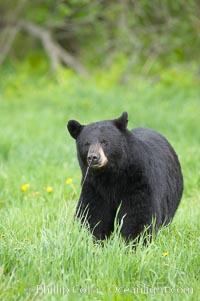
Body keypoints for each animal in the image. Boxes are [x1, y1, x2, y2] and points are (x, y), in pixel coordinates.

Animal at [67, 112, 183, 241]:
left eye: (104, 141)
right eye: (86, 144)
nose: (93, 157)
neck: (110, 175)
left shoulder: (138, 181)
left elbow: (138, 213)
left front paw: (133, 241)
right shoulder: (93, 186)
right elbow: (93, 213)